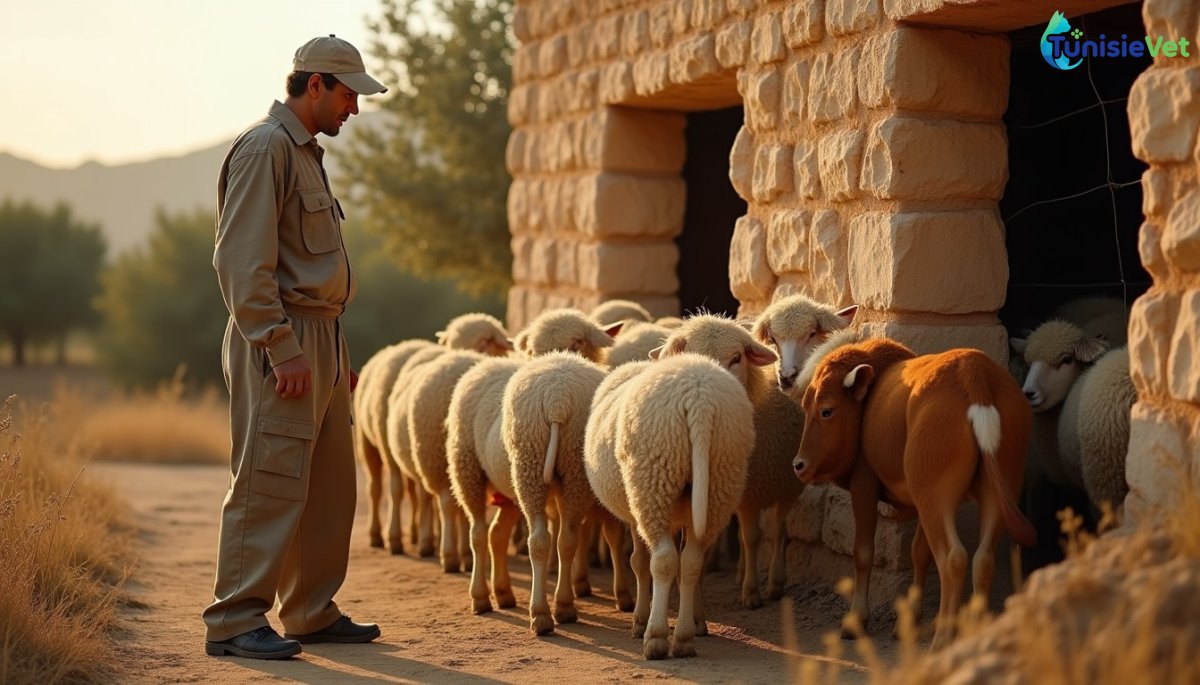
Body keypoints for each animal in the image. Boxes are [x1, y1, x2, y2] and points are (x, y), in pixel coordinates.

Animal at [503, 351, 611, 635]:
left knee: (540, 540)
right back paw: (564, 607)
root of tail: (556, 400)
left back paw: (541, 615)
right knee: (568, 539)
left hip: (529, 462)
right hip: (574, 469)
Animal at [793, 337, 1035, 650]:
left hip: (934, 494)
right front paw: (909, 620)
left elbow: (863, 552)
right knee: (983, 558)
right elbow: (919, 552)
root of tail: (975, 375)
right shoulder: (922, 502)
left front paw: (856, 619)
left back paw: (942, 639)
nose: (799, 465)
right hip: (985, 488)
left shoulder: (864, 484)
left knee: (953, 558)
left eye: (826, 411)